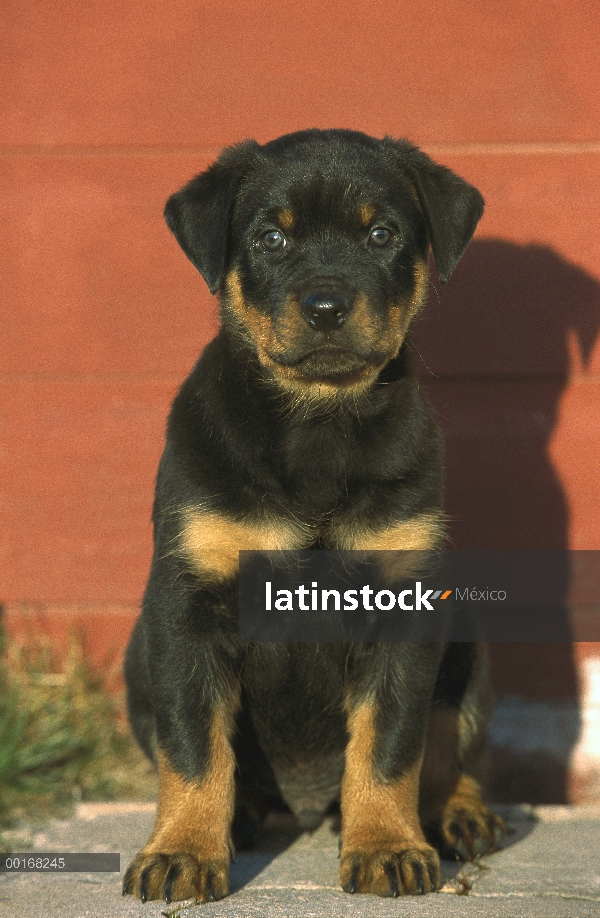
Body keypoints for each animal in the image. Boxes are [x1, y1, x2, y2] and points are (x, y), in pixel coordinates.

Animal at [122, 129, 502, 904]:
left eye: (382, 235)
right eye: (271, 238)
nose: (326, 305)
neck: (318, 424)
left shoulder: (405, 604)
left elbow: (391, 743)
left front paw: (387, 844)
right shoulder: (185, 606)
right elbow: (192, 745)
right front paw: (181, 850)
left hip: (469, 641)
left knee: (449, 743)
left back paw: (460, 815)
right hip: (136, 656)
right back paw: (240, 817)